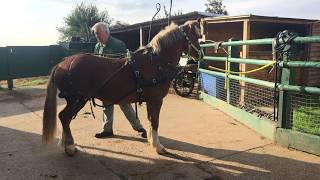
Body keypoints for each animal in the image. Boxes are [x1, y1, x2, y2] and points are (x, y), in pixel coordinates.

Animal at [42, 18, 202, 156]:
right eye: (196, 36)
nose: (200, 55)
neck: (156, 62)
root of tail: (61, 64)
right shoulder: (156, 100)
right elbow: (155, 122)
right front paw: (158, 147)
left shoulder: (151, 100)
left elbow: (151, 121)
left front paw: (151, 141)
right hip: (77, 99)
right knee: (64, 117)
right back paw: (69, 146)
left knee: (65, 118)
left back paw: (65, 143)